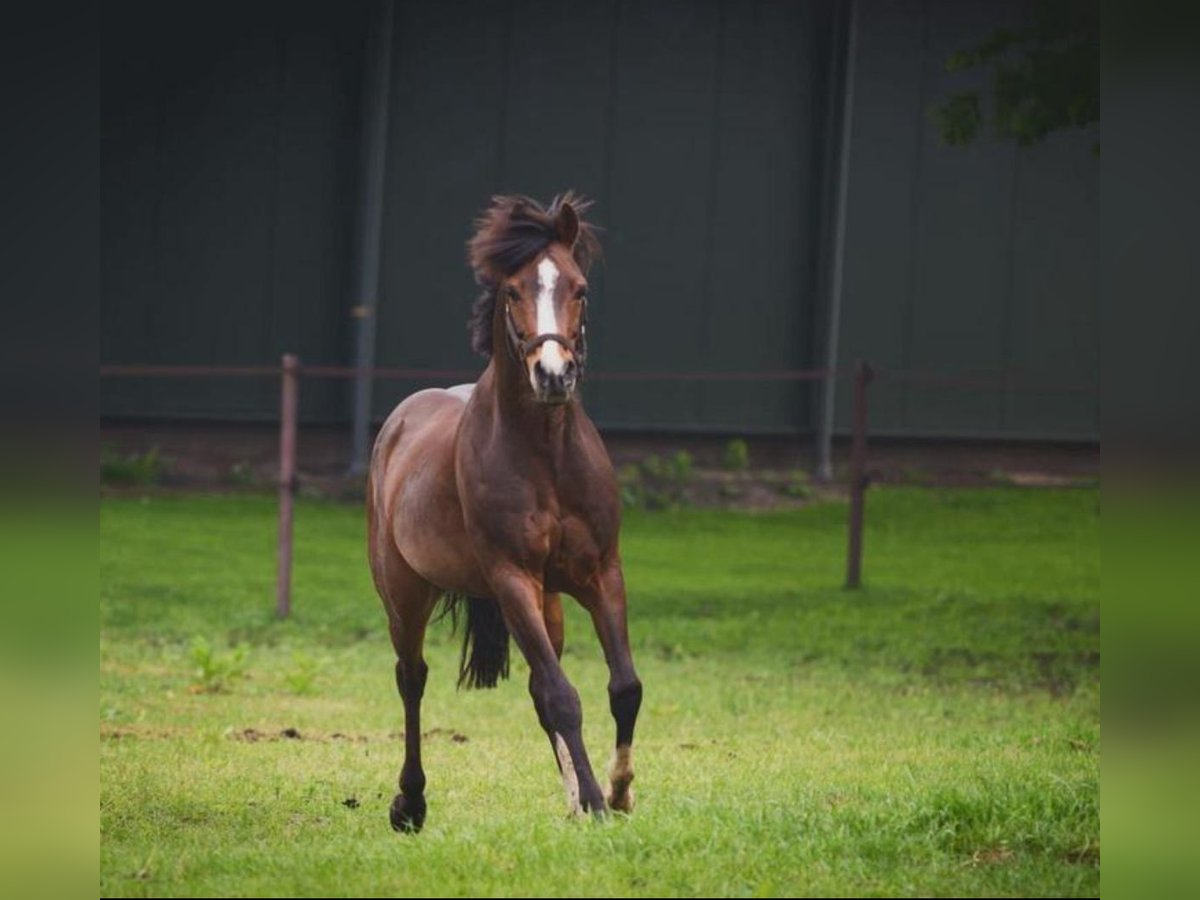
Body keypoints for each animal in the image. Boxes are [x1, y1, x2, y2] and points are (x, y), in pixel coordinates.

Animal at [364, 194, 643, 835]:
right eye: (513, 290)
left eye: (580, 287)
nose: (554, 374)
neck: (546, 456)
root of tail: (396, 427)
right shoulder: (511, 578)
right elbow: (565, 696)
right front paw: (597, 804)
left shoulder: (600, 574)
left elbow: (622, 687)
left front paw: (617, 792)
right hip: (405, 594)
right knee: (412, 678)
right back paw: (410, 803)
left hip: (548, 602)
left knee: (542, 688)